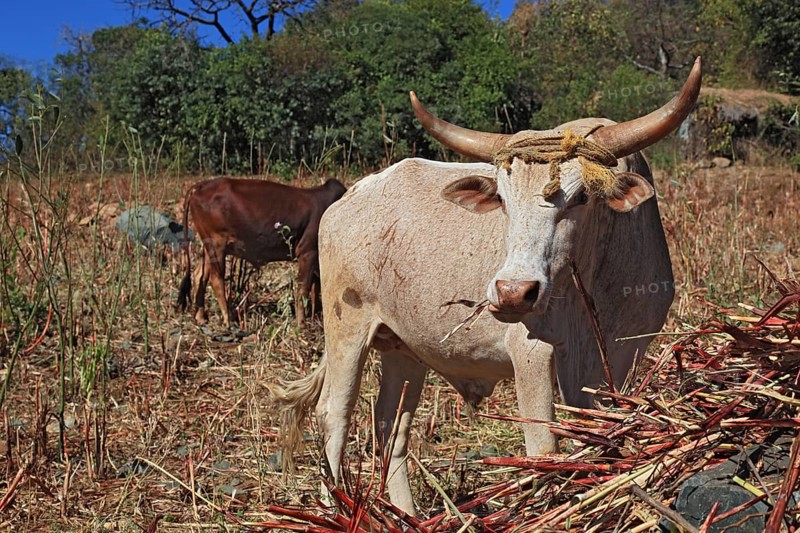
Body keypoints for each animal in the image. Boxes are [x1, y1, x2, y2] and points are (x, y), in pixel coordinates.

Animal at [176, 177, 346, 327]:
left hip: (208, 245)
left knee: (199, 275)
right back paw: (228, 319)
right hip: (216, 244)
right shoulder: (307, 251)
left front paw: (316, 315)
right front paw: (302, 324)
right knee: (216, 279)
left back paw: (200, 316)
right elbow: (303, 289)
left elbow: (317, 287)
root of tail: (200, 185)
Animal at [274, 58, 702, 514]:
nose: (514, 292)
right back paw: (334, 509)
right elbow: (543, 448)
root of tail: (350, 197)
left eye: (582, 197)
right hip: (346, 329)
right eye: (501, 199)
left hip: (403, 350)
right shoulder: (533, 355)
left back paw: (406, 514)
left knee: (391, 426)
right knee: (333, 415)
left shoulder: (619, 359)